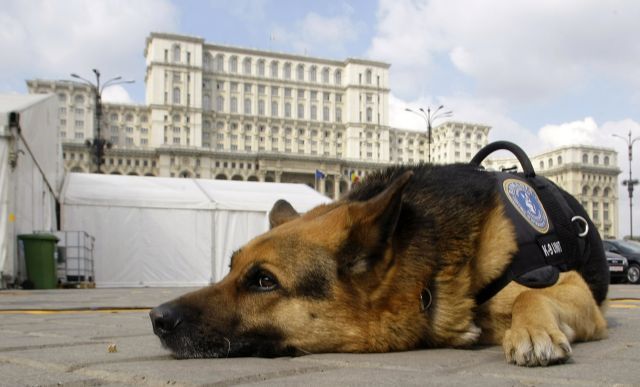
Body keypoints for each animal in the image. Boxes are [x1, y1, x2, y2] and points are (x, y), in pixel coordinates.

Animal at [151, 162, 608, 368]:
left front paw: (531, 331)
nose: (156, 318)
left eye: (264, 281)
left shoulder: (574, 288)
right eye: (230, 268)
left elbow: (531, 295)